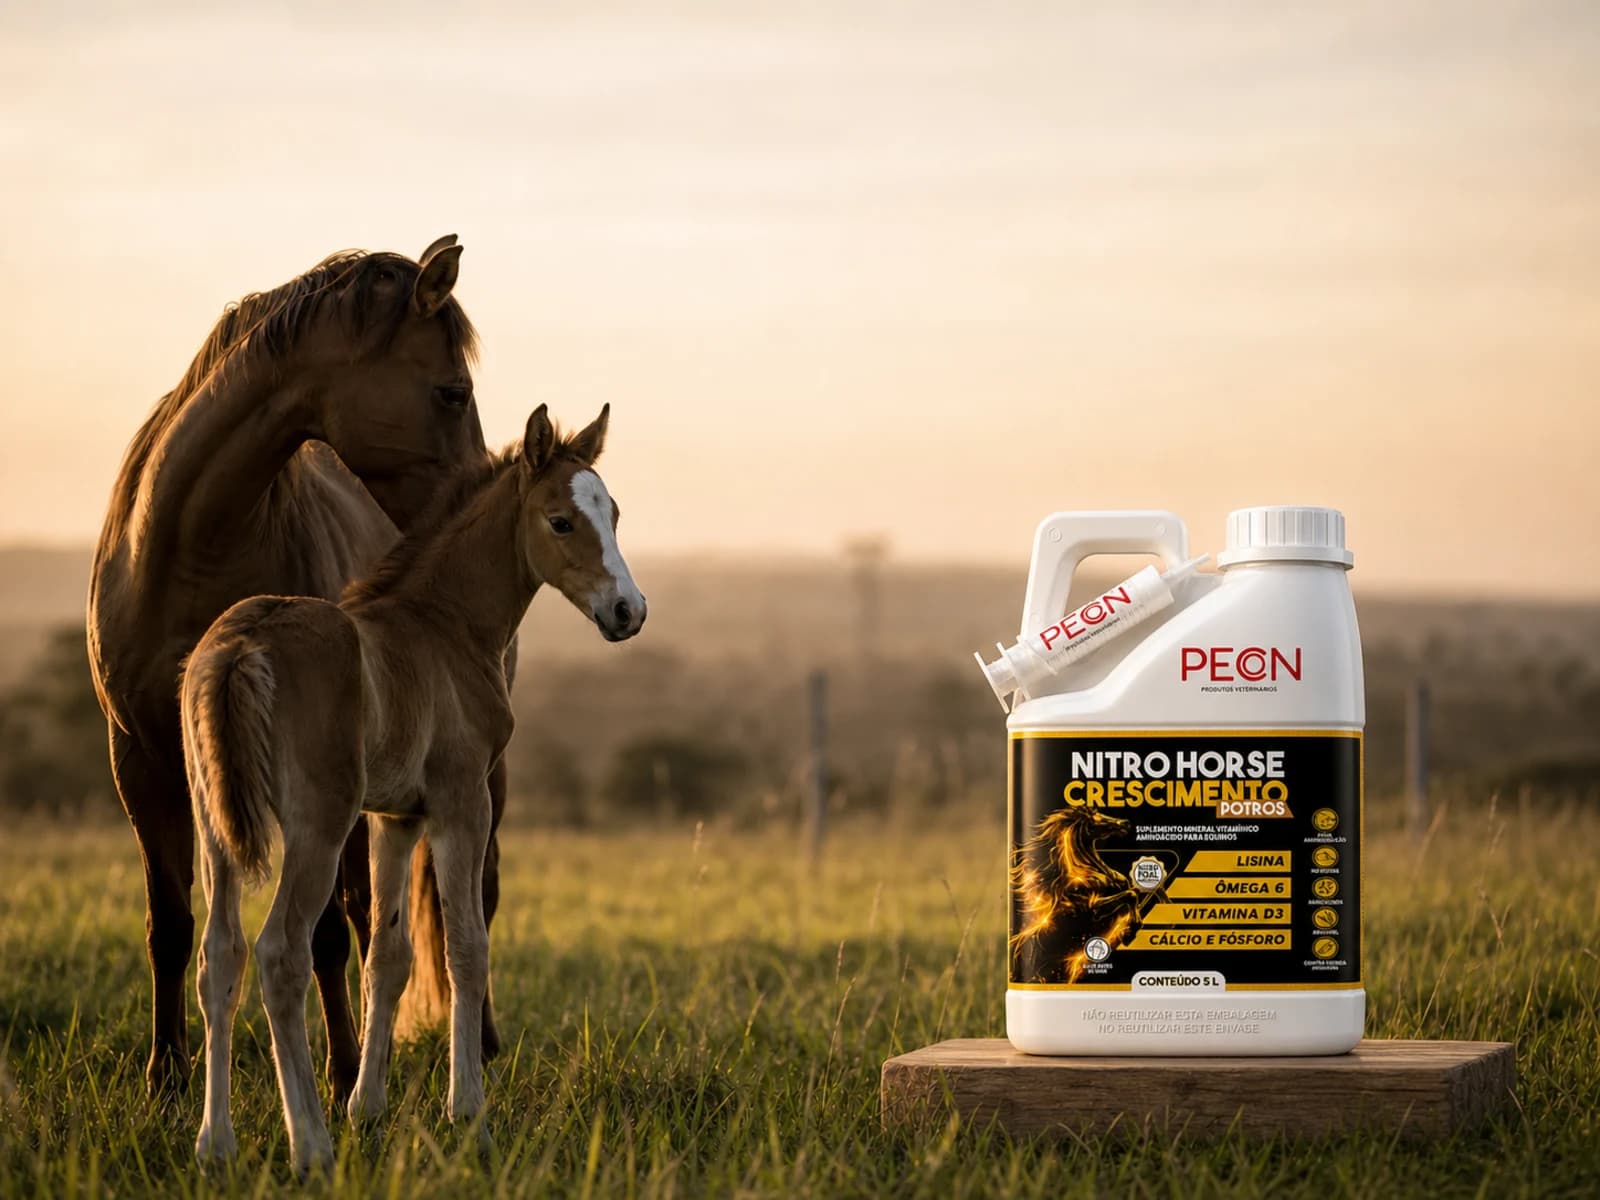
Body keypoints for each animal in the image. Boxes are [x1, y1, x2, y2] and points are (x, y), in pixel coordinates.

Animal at [87, 237, 509, 1099]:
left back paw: (471, 1047)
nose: (479, 508)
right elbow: (170, 923)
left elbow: (328, 934)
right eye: (452, 392)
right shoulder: (140, 761)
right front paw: (166, 1079)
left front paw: (345, 1075)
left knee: (467, 898)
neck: (191, 550)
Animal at [180, 403, 645, 1175]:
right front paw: (469, 1115)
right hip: (316, 825)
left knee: (221, 955)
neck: (445, 626)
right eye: (560, 521)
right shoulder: (461, 802)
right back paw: (309, 1147)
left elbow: (389, 956)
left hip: (214, 825)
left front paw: (367, 1108)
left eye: (612, 513)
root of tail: (244, 646)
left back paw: (215, 1144)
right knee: (281, 953)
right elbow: (466, 948)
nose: (627, 612)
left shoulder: (393, 818)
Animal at [1009, 807, 1165, 983]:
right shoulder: (1094, 909)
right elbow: (1130, 895)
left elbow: (1134, 892)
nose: (1125, 823)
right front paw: (1129, 932)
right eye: (1094, 819)